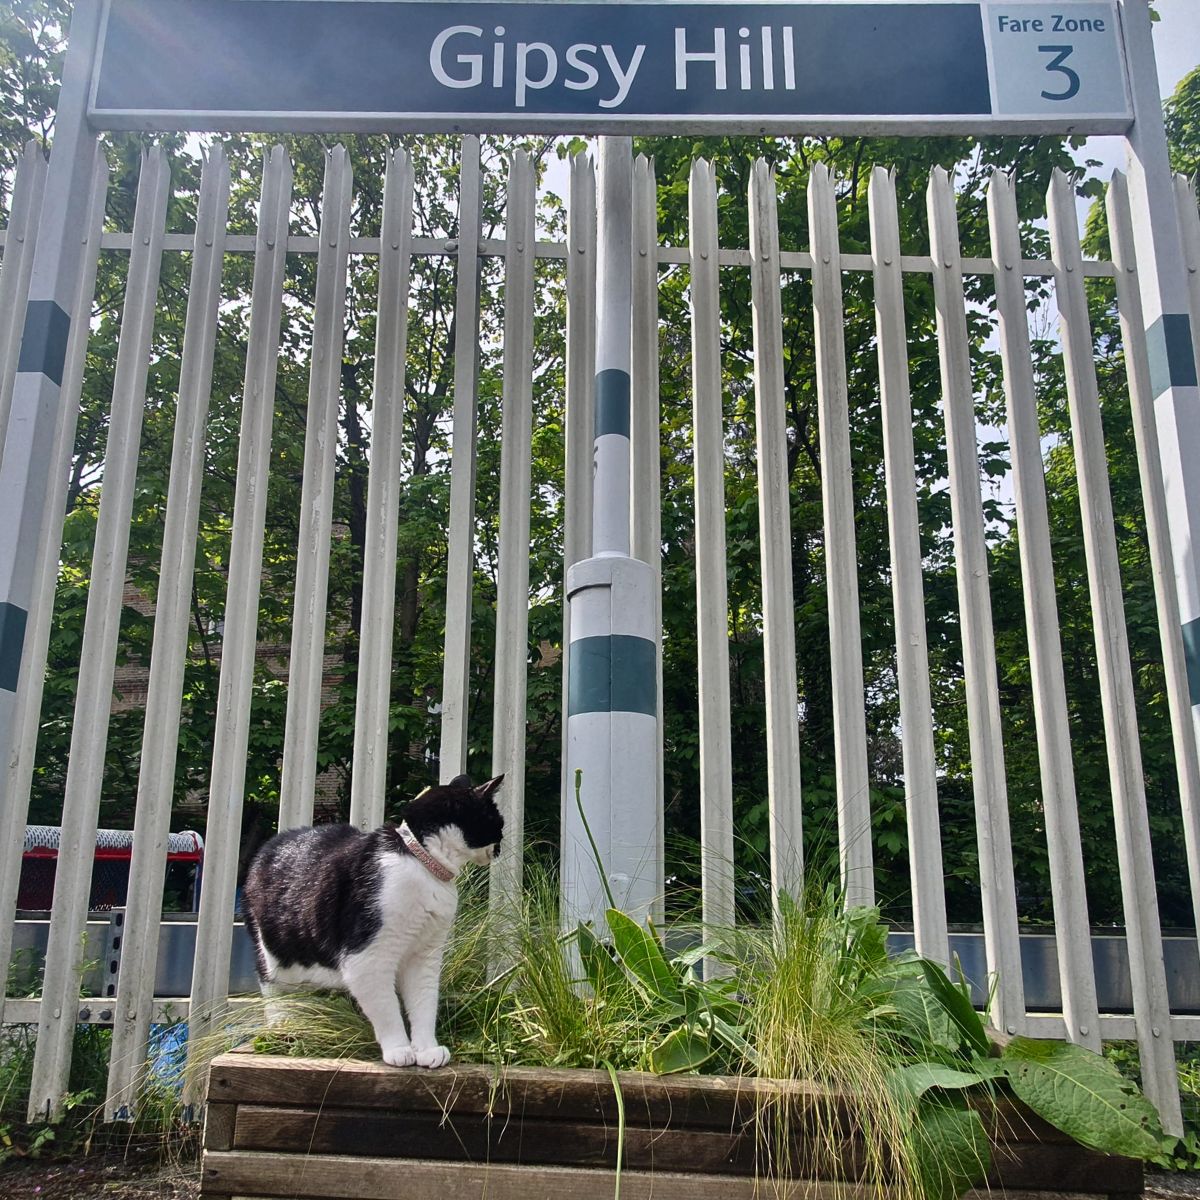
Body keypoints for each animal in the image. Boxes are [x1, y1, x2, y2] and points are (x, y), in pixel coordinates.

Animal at [241, 777, 504, 1070]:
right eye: (498, 822)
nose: (501, 847)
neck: (421, 863)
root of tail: (268, 846)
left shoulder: (425, 955)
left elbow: (424, 1001)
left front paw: (427, 1050)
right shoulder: (367, 958)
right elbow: (386, 1006)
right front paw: (399, 1049)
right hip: (274, 953)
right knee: (272, 986)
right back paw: (283, 1026)